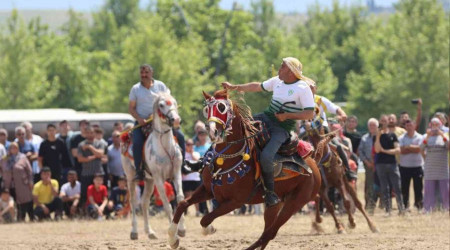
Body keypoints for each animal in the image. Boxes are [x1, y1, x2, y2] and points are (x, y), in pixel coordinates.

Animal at [120, 92, 185, 240]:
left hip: (149, 181)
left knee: (144, 202)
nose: (176, 120)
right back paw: (134, 232)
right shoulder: (158, 178)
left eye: (174, 102)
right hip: (131, 178)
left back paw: (150, 232)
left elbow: (180, 199)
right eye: (161, 105)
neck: (165, 148)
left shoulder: (176, 173)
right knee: (133, 202)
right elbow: (167, 204)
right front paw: (173, 233)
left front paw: (182, 229)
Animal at [167, 90, 322, 250]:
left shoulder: (235, 202)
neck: (228, 159)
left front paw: (209, 229)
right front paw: (173, 238)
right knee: (267, 232)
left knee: (269, 233)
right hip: (274, 205)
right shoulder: (208, 190)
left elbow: (205, 218)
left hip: (294, 203)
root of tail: (313, 164)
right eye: (206, 109)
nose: (212, 131)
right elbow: (182, 204)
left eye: (222, 107)